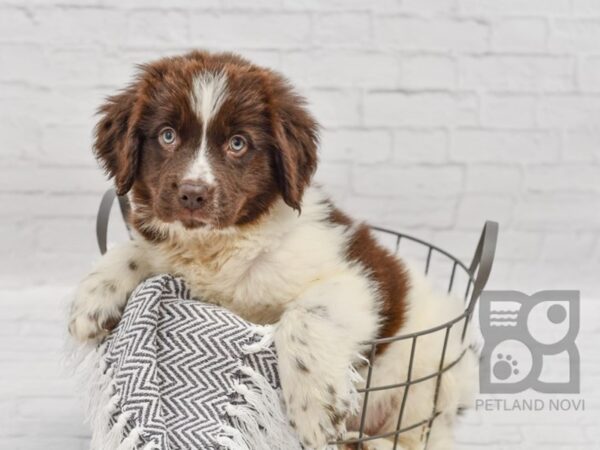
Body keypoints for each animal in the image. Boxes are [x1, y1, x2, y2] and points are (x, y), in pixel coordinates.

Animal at [68, 51, 476, 450]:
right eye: (167, 135)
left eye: (238, 143)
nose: (193, 194)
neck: (223, 245)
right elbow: (138, 250)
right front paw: (92, 299)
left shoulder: (359, 279)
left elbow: (304, 314)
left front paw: (315, 410)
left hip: (431, 375)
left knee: (421, 431)